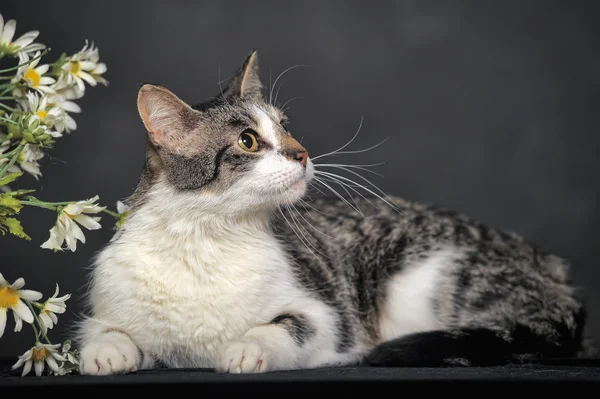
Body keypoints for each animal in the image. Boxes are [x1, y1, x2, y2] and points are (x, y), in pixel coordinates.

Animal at [75, 49, 592, 376]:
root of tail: (554, 270)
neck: (205, 238)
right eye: (248, 141)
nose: (302, 154)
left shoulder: (327, 317)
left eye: (286, 127)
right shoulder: (110, 300)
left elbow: (282, 327)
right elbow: (102, 329)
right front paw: (106, 351)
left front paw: (245, 348)